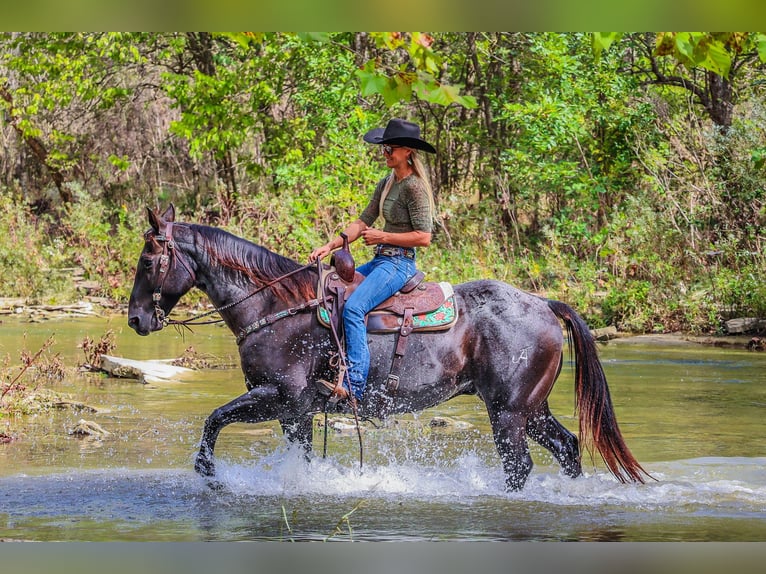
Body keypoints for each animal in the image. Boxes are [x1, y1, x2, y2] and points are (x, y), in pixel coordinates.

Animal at [127, 205, 649, 491]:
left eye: (149, 261)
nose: (136, 319)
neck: (276, 305)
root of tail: (543, 304)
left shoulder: (277, 397)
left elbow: (214, 419)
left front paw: (208, 472)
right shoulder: (295, 411)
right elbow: (299, 457)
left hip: (509, 413)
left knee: (519, 466)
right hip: (532, 409)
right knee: (567, 448)